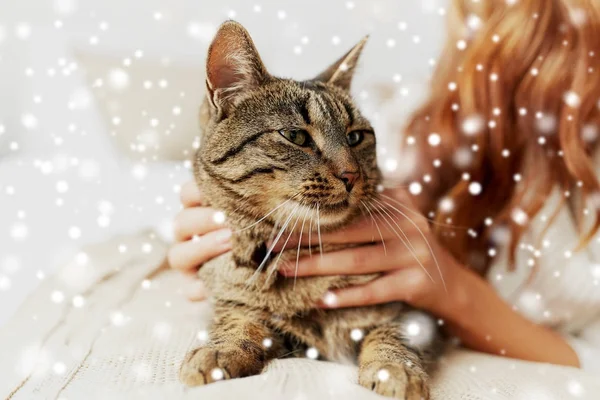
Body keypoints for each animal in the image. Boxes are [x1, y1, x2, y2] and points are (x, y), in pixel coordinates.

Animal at [180, 21, 442, 400]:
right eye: (295, 136)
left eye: (356, 137)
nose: (351, 175)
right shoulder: (241, 306)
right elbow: (238, 322)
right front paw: (219, 351)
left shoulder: (414, 311)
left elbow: (392, 334)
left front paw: (395, 369)